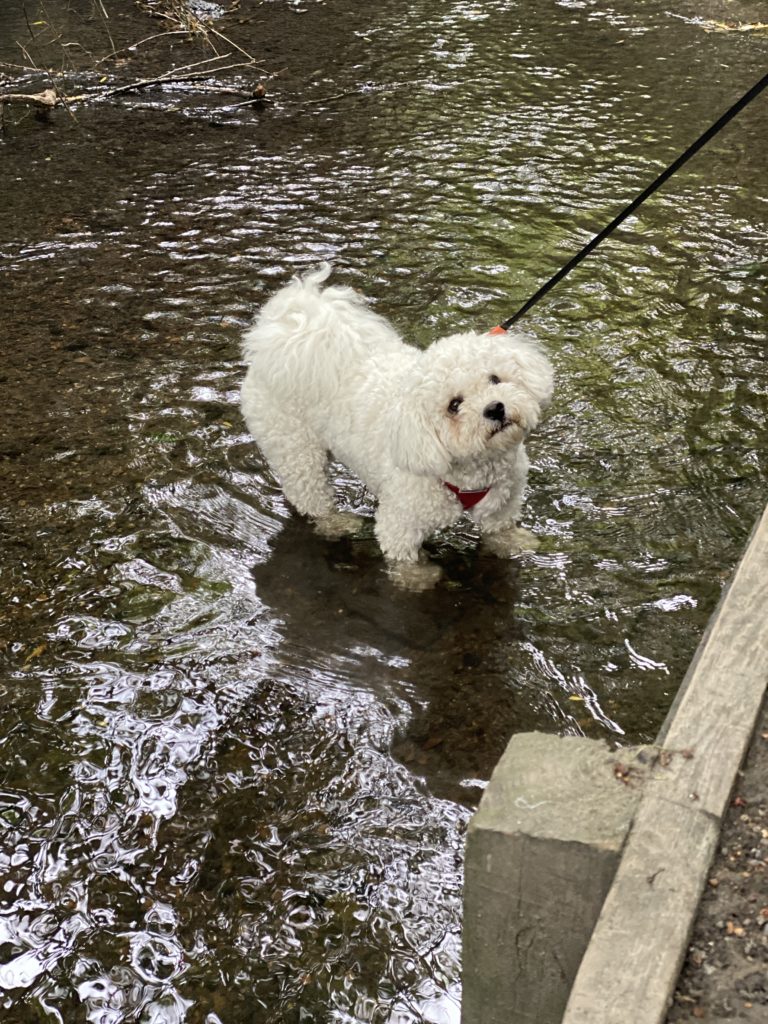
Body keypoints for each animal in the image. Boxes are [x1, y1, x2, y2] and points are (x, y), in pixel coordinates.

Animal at [240, 264, 552, 585]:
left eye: (495, 379)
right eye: (454, 405)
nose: (495, 408)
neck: (476, 468)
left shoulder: (504, 498)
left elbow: (501, 528)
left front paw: (515, 543)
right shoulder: (402, 521)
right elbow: (404, 558)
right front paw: (419, 578)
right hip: (293, 446)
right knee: (309, 494)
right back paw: (337, 522)